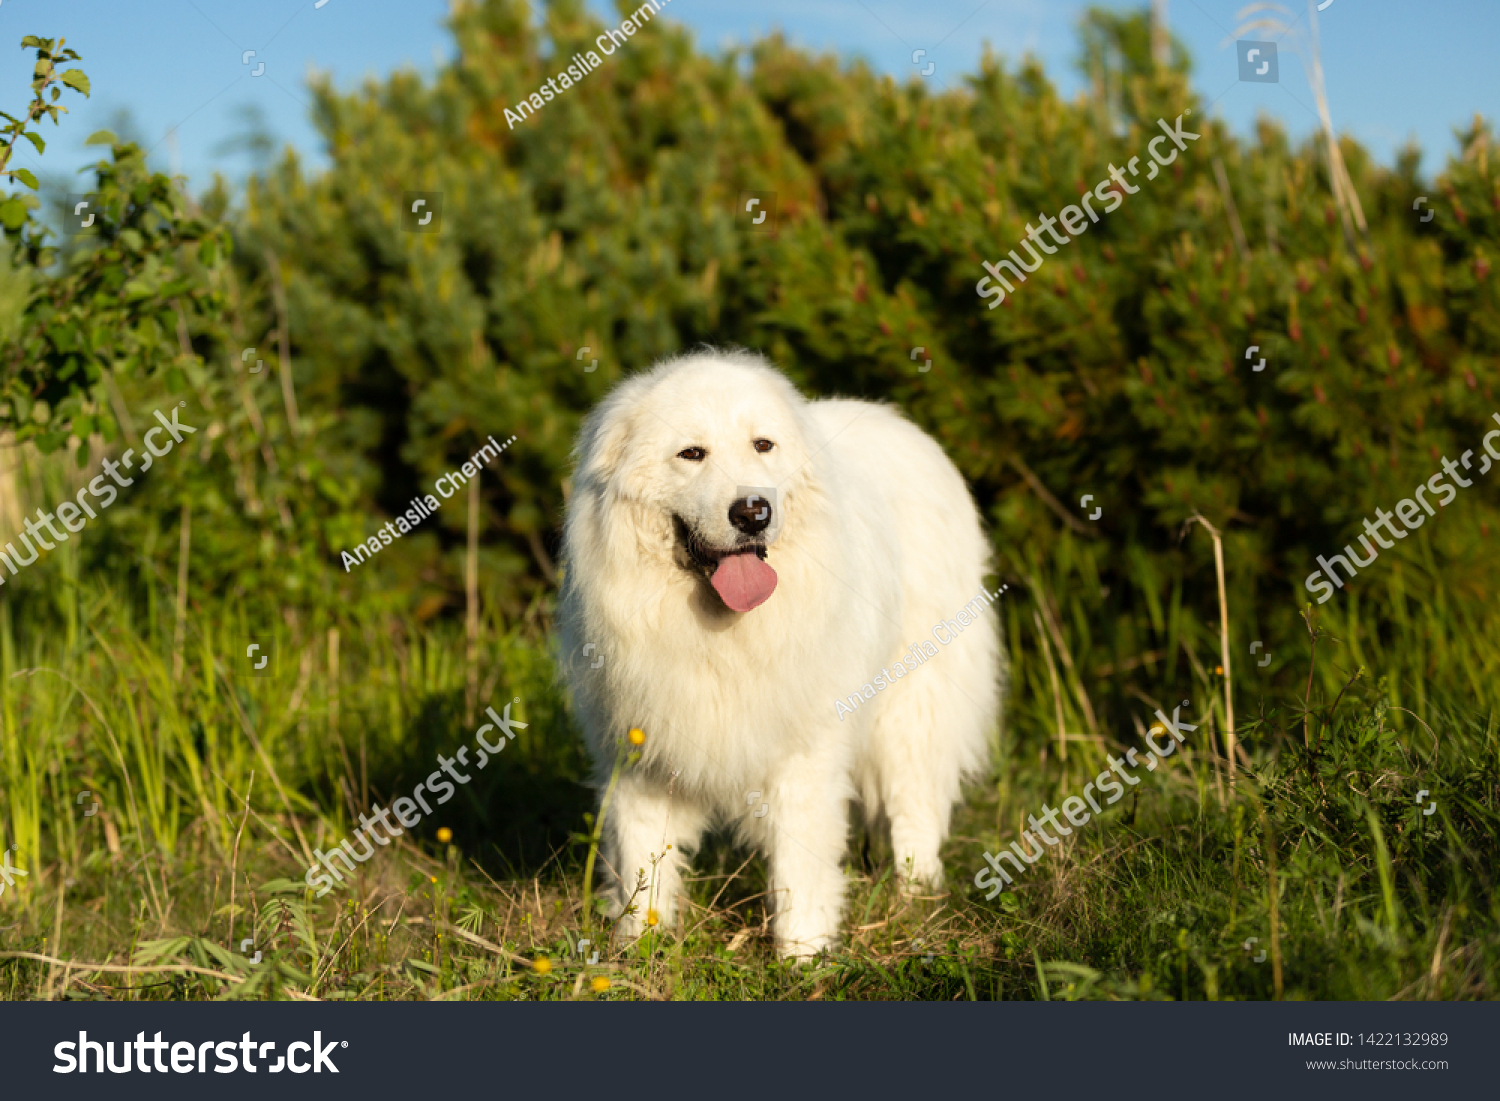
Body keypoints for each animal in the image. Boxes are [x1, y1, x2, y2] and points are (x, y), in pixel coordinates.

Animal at [558, 354, 1002, 960]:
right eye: (691, 454)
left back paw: (915, 899)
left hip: (912, 707)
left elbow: (800, 863)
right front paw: (638, 949)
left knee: (915, 808)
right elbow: (641, 863)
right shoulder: (640, 754)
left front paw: (803, 957)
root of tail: (898, 423)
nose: (753, 512)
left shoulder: (804, 752)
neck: (717, 629)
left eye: (762, 445)